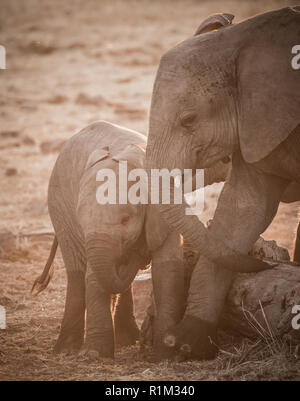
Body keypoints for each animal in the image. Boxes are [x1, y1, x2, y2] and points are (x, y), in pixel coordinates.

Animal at [34, 120, 186, 358]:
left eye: (125, 220)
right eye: (82, 221)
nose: (140, 256)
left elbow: (169, 269)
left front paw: (165, 353)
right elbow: (95, 275)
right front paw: (95, 355)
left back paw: (127, 340)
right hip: (58, 204)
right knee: (77, 272)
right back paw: (66, 349)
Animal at [145, 6, 300, 358]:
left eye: (189, 120)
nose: (268, 264)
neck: (241, 38)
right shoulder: (254, 121)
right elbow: (243, 208)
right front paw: (188, 343)